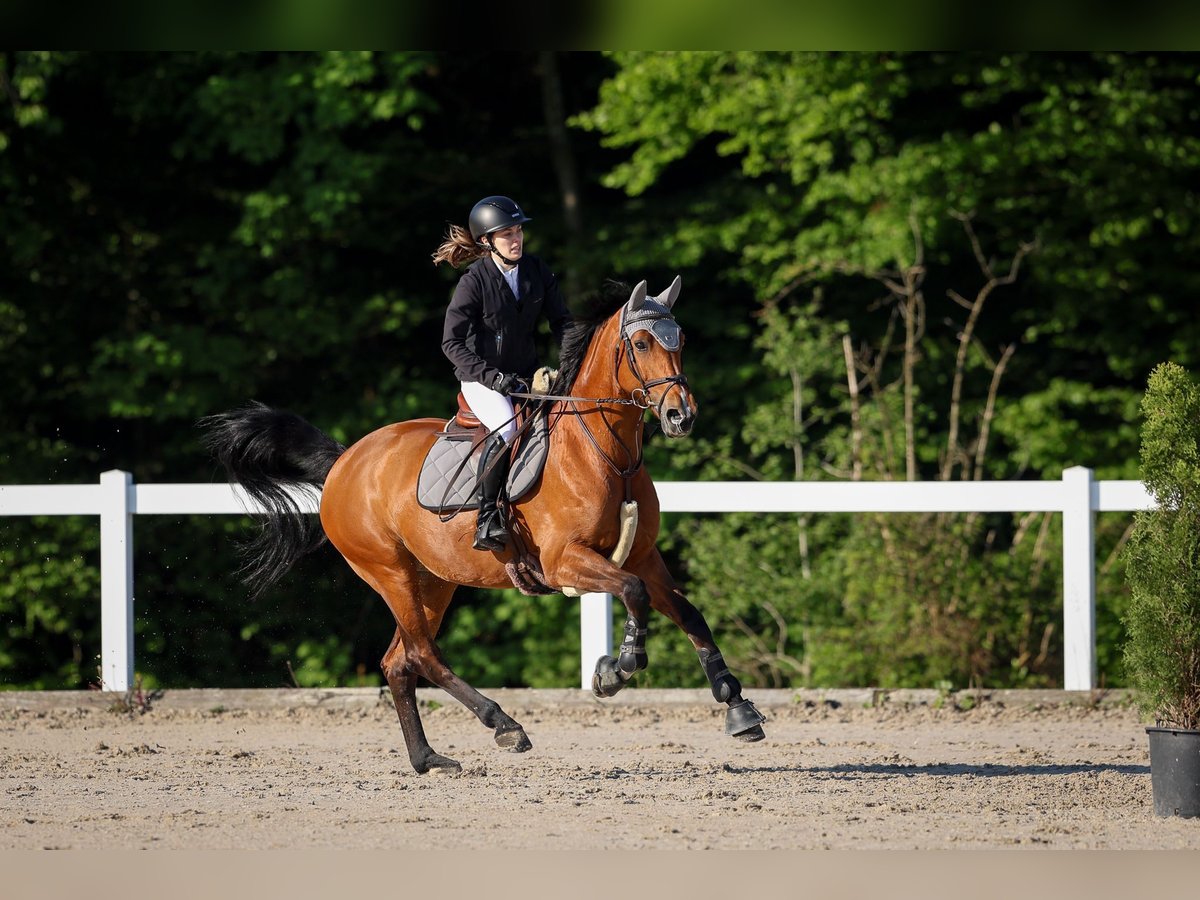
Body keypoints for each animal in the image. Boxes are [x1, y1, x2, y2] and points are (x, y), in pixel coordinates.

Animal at [200, 280, 763, 777]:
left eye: (680, 340)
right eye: (642, 343)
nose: (681, 416)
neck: (607, 456)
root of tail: (345, 461)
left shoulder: (644, 555)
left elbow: (688, 613)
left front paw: (737, 707)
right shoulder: (567, 562)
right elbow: (633, 593)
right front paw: (616, 668)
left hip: (434, 580)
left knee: (398, 661)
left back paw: (429, 760)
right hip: (388, 572)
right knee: (422, 653)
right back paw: (504, 724)